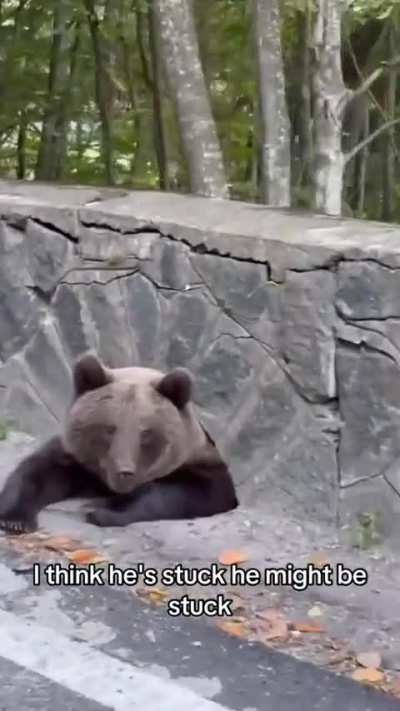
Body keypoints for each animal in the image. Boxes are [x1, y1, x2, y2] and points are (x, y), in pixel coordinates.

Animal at [0, 353, 238, 533]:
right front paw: (15, 520)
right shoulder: (78, 458)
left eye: (146, 433)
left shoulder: (198, 463)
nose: (124, 472)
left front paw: (105, 512)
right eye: (109, 428)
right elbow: (39, 472)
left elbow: (186, 493)